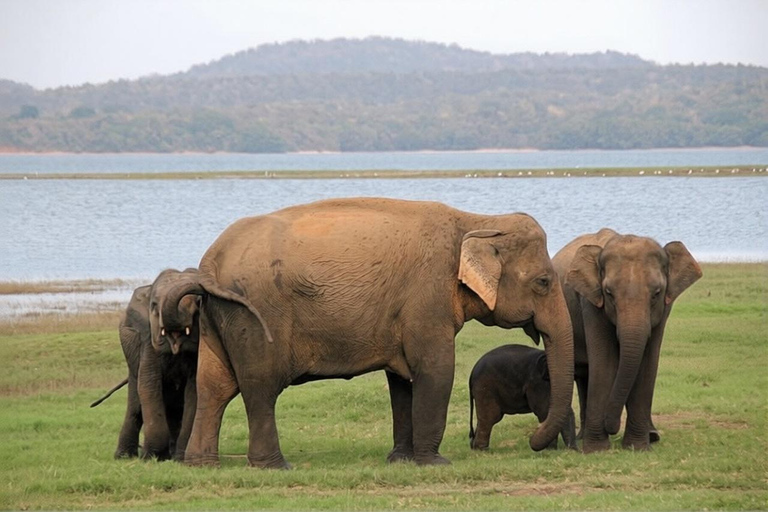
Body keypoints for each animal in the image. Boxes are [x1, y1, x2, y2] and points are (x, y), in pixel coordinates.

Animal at [111, 268, 202, 461]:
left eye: (198, 304)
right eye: (153, 305)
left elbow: (194, 390)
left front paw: (180, 458)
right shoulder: (147, 342)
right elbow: (149, 385)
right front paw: (152, 457)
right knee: (136, 408)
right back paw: (124, 456)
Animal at [159, 198, 574, 468]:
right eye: (542, 282)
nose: (535, 444)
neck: (475, 219)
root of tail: (210, 262)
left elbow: (403, 379)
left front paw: (400, 460)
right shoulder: (427, 298)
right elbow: (435, 370)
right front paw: (435, 463)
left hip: (218, 317)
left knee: (214, 386)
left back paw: (201, 465)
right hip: (254, 315)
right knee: (259, 387)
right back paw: (274, 466)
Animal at [552, 229, 702, 453]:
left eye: (657, 293)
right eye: (608, 293)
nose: (612, 427)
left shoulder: (665, 307)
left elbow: (648, 363)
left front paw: (637, 447)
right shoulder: (591, 302)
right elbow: (605, 363)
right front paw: (597, 449)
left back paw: (651, 436)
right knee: (582, 372)